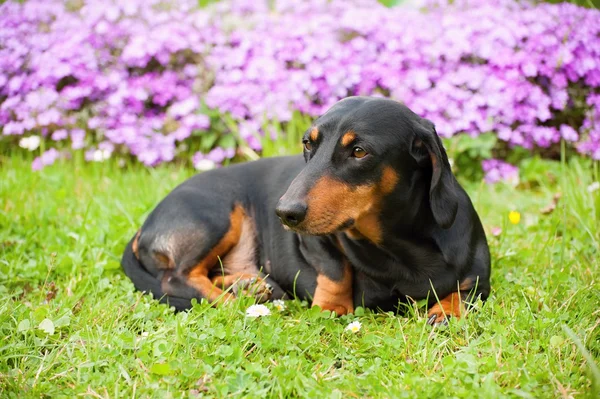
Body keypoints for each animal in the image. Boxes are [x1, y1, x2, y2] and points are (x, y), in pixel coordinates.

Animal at [119, 97, 490, 324]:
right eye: (308, 143)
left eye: (359, 151)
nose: (284, 213)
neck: (399, 244)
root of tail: (145, 226)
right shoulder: (315, 240)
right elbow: (335, 271)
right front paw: (332, 306)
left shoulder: (478, 277)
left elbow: (465, 292)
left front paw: (446, 311)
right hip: (215, 215)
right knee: (177, 278)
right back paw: (235, 302)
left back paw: (249, 286)